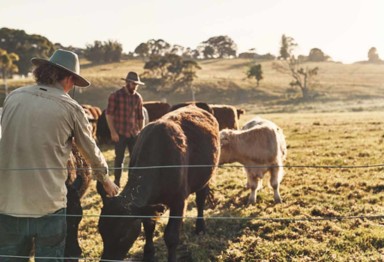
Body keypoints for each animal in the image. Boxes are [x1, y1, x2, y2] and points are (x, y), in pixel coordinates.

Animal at [97, 106, 220, 262]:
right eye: (101, 231)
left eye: (123, 235)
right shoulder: (148, 205)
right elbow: (149, 227)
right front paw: (148, 254)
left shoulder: (179, 201)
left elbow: (171, 236)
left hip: (205, 178)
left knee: (200, 199)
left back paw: (200, 227)